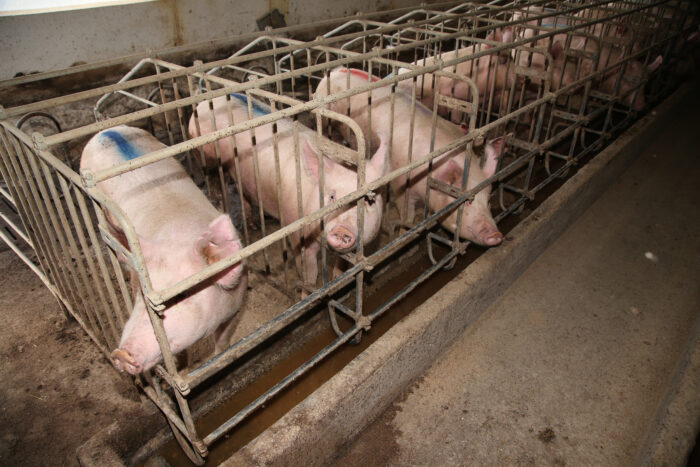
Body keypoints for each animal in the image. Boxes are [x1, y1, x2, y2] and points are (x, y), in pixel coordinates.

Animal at [80, 126, 246, 374]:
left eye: (181, 296)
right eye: (142, 295)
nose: (120, 355)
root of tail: (107, 130)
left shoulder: (236, 303)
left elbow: (223, 343)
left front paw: (220, 359)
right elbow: (182, 356)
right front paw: (184, 371)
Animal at [189, 93, 388, 290]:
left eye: (369, 201)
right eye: (331, 196)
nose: (342, 229)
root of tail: (204, 103)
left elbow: (343, 265)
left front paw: (340, 279)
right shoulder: (297, 231)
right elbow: (308, 274)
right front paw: (309, 291)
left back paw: (252, 223)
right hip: (205, 156)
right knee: (215, 181)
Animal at [316, 68, 504, 249]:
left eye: (488, 200)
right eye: (466, 203)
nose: (496, 236)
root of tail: (336, 71)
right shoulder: (401, 185)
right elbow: (407, 216)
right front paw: (403, 234)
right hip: (327, 120)